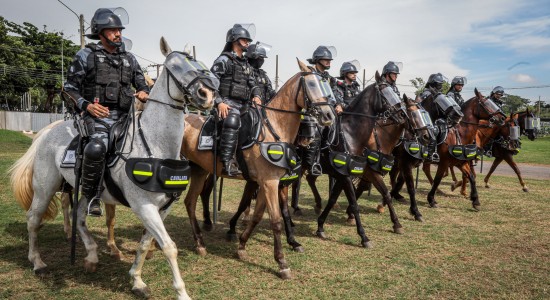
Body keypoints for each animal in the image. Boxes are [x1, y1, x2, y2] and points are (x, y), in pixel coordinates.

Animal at [9, 37, 216, 300]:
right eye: (175, 66)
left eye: (198, 62)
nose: (207, 94)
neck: (156, 144)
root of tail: (48, 131)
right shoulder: (144, 206)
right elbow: (169, 247)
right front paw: (181, 292)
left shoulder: (163, 208)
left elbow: (145, 244)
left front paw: (136, 280)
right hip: (45, 188)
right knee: (33, 219)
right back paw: (38, 262)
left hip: (87, 190)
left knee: (79, 218)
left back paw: (91, 255)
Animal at [181, 58, 336, 278]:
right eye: (313, 84)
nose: (329, 115)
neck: (274, 128)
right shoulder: (270, 183)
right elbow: (276, 221)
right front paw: (282, 263)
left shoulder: (267, 183)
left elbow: (256, 216)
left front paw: (241, 246)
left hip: (200, 170)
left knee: (190, 202)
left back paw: (200, 242)